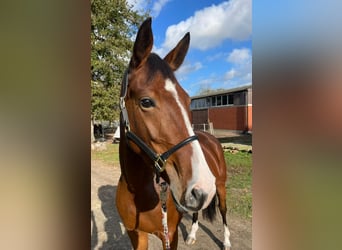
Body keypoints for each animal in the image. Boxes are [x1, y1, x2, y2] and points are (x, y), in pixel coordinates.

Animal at [116, 18, 231, 250]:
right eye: (146, 102)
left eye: (188, 100)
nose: (202, 186)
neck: (138, 190)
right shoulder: (136, 234)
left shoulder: (170, 234)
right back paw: (193, 234)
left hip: (220, 187)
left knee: (223, 211)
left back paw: (227, 241)